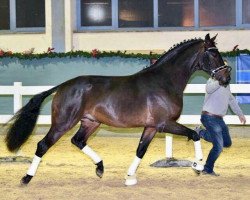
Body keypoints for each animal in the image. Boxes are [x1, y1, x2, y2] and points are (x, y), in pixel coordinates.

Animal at [4, 34, 230, 186]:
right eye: (213, 53)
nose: (226, 78)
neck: (164, 81)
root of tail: (63, 86)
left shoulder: (151, 127)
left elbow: (140, 150)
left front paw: (129, 177)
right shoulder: (164, 124)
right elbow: (194, 134)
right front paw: (197, 166)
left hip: (91, 122)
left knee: (78, 141)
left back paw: (100, 168)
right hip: (63, 123)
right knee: (43, 145)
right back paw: (26, 178)